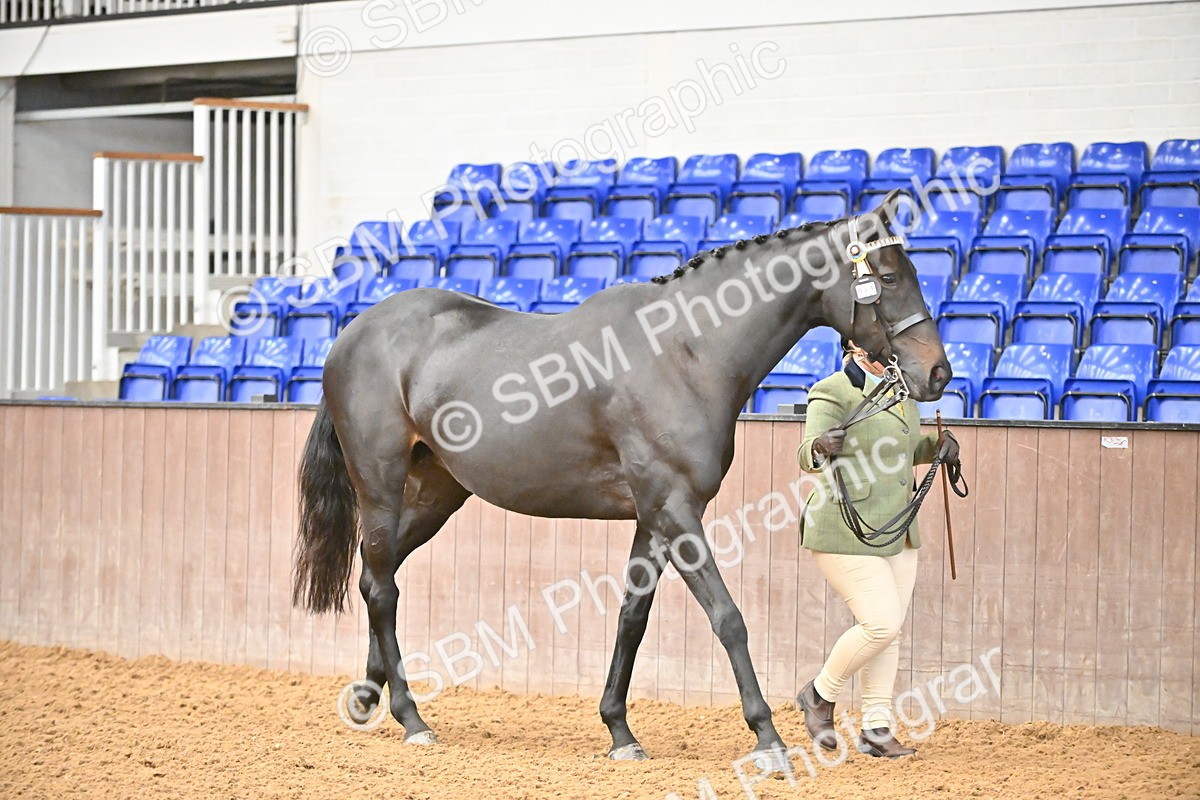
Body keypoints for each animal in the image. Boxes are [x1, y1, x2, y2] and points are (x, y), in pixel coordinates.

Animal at [292, 190, 951, 762]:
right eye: (890, 277)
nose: (937, 373)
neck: (685, 352)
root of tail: (352, 333)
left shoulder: (653, 517)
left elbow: (632, 618)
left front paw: (619, 731)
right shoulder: (676, 511)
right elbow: (728, 618)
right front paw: (766, 735)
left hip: (436, 493)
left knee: (375, 576)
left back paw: (369, 694)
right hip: (380, 485)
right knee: (382, 587)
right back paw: (411, 717)